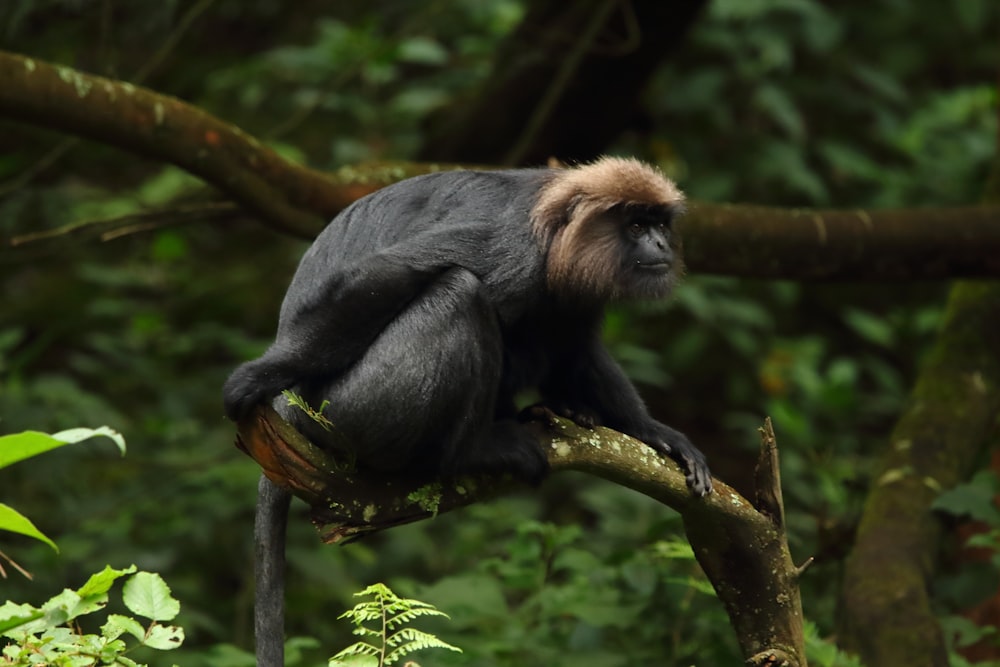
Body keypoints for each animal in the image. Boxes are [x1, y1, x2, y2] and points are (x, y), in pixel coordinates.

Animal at [224, 158, 716, 496]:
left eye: (659, 224)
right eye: (636, 225)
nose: (660, 243)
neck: (554, 230)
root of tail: (295, 413)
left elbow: (576, 346)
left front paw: (654, 432)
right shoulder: (512, 248)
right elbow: (383, 273)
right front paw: (258, 376)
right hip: (346, 411)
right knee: (461, 291)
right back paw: (471, 454)